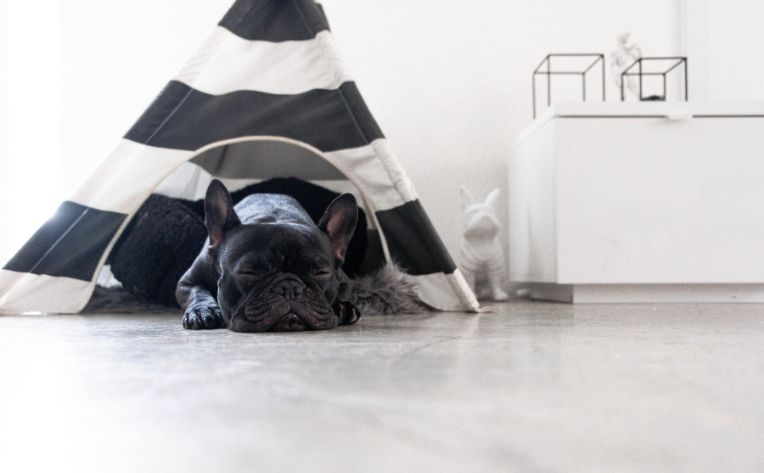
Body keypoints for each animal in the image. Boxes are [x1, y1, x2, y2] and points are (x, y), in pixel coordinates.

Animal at [176, 179, 362, 330]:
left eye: (321, 273)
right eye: (248, 272)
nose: (289, 287)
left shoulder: (345, 280)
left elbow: (343, 292)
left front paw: (341, 308)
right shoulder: (186, 282)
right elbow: (197, 291)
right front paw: (202, 310)